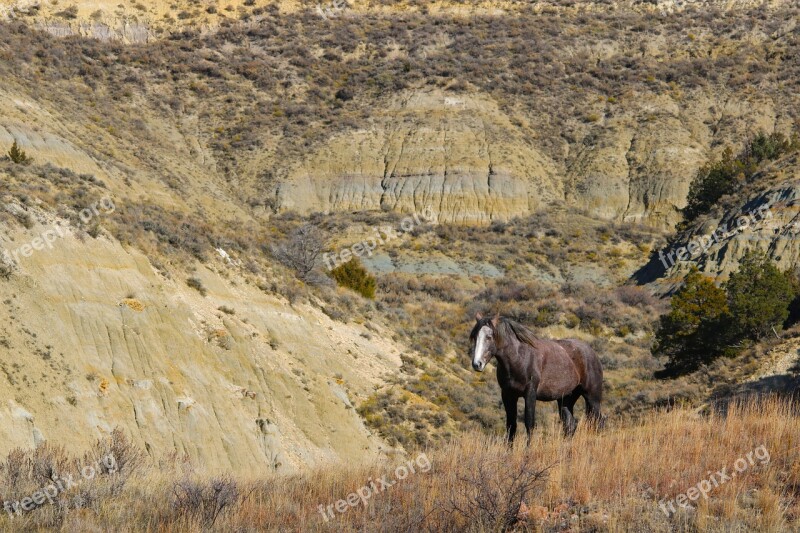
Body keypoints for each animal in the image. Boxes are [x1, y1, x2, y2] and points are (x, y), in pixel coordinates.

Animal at [466, 312, 604, 440]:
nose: (477, 364)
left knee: (597, 422)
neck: (520, 358)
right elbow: (511, 426)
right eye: (474, 336)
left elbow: (529, 424)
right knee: (570, 426)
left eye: (489, 337)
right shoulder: (508, 395)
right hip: (566, 399)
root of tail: (592, 352)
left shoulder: (530, 393)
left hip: (592, 398)